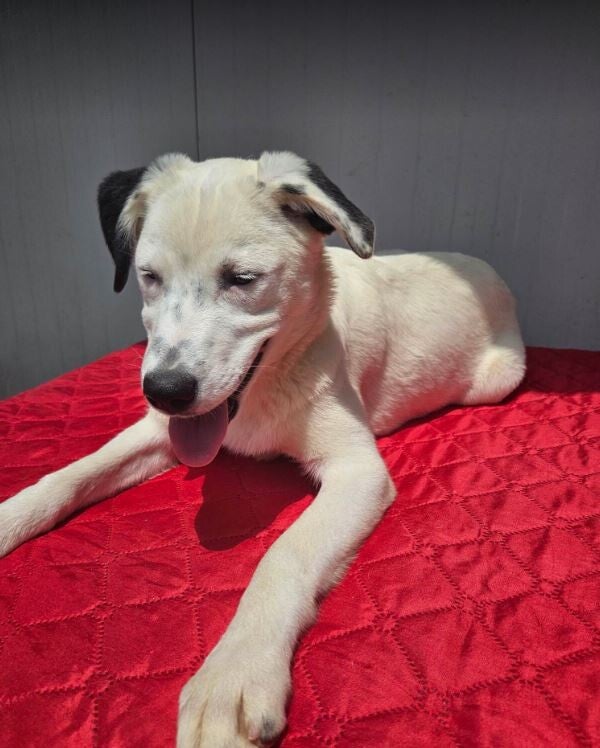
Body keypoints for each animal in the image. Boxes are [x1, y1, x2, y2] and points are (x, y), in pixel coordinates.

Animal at [0, 151, 525, 747]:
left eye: (242, 279)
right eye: (149, 277)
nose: (165, 390)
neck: (259, 393)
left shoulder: (358, 471)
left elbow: (284, 554)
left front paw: (233, 672)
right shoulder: (162, 428)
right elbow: (70, 475)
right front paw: (11, 516)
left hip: (497, 380)